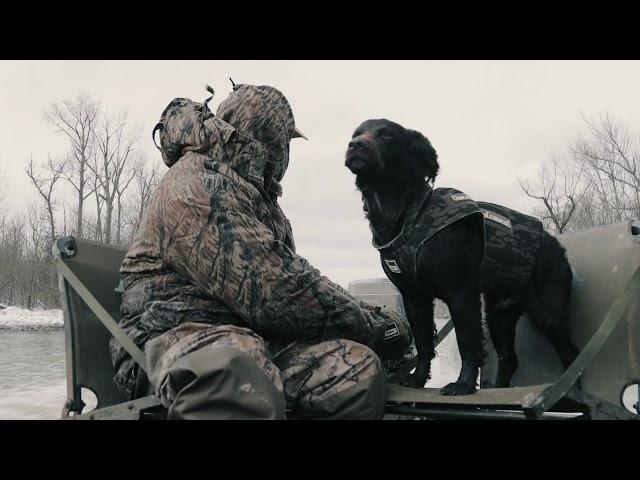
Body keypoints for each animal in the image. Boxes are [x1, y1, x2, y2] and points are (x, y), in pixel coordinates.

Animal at [344, 118, 580, 396]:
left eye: (386, 135)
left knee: (570, 353)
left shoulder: (461, 293)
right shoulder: (414, 298)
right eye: (356, 133)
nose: (355, 145)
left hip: (547, 310)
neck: (408, 214)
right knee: (509, 359)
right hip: (499, 314)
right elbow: (424, 344)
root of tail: (556, 245)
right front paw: (418, 379)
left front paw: (463, 384)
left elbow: (467, 342)